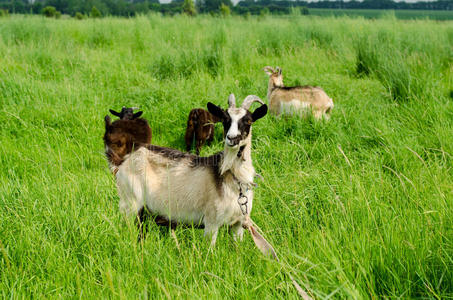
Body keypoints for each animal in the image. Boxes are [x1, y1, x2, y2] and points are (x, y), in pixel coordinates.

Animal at [104, 94, 266, 246]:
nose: (232, 138)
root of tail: (123, 161)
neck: (233, 178)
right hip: (130, 202)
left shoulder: (238, 224)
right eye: (225, 120)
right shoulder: (211, 222)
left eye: (249, 121)